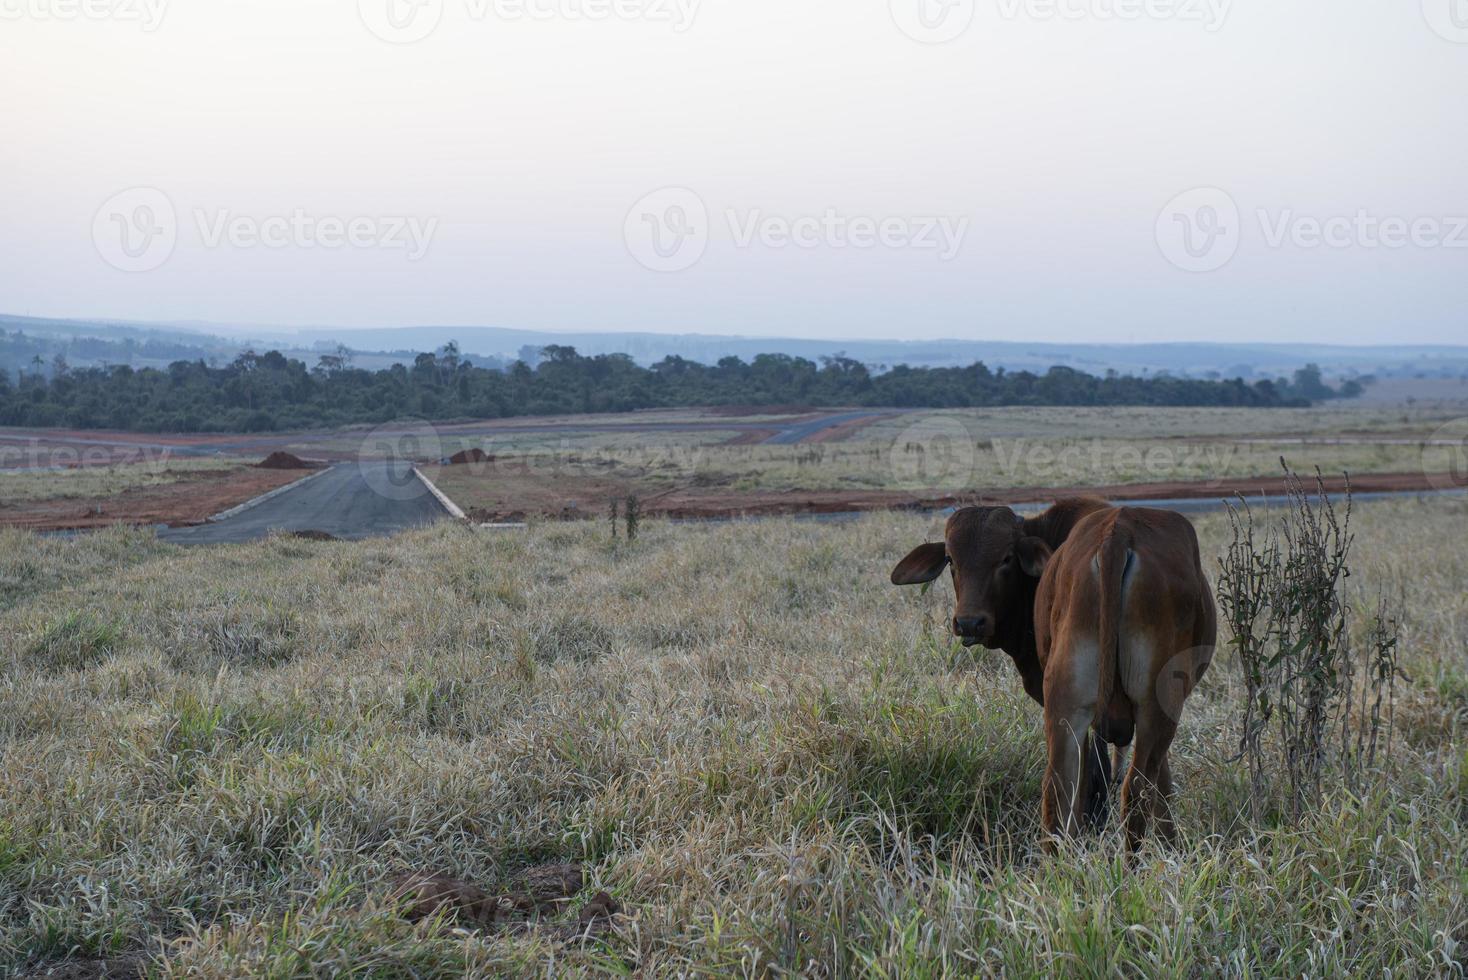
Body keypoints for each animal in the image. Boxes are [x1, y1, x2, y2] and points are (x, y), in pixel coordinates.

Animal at [892, 498, 1215, 850]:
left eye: (1006, 557)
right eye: (951, 559)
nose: (969, 623)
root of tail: (1118, 534)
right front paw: (1171, 844)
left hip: (1073, 701)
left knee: (1061, 788)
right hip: (1152, 705)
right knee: (1132, 789)